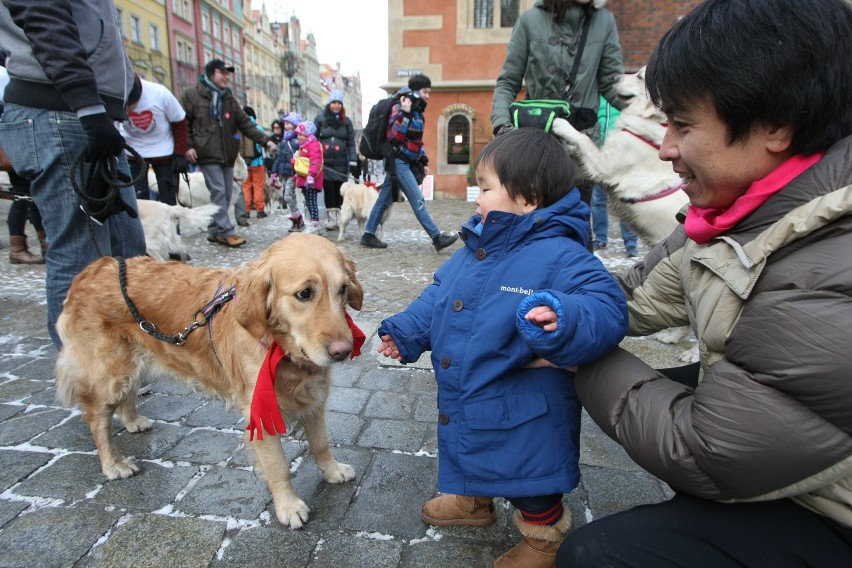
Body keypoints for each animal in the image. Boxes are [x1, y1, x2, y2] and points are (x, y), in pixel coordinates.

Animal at [55, 234, 362, 528]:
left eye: (343, 289)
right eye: (304, 293)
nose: (343, 351)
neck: (282, 348)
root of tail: (92, 268)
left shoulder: (314, 399)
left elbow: (321, 443)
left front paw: (332, 470)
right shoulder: (260, 413)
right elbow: (279, 466)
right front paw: (288, 506)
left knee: (127, 396)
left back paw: (132, 421)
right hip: (110, 374)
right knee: (97, 419)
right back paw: (113, 464)